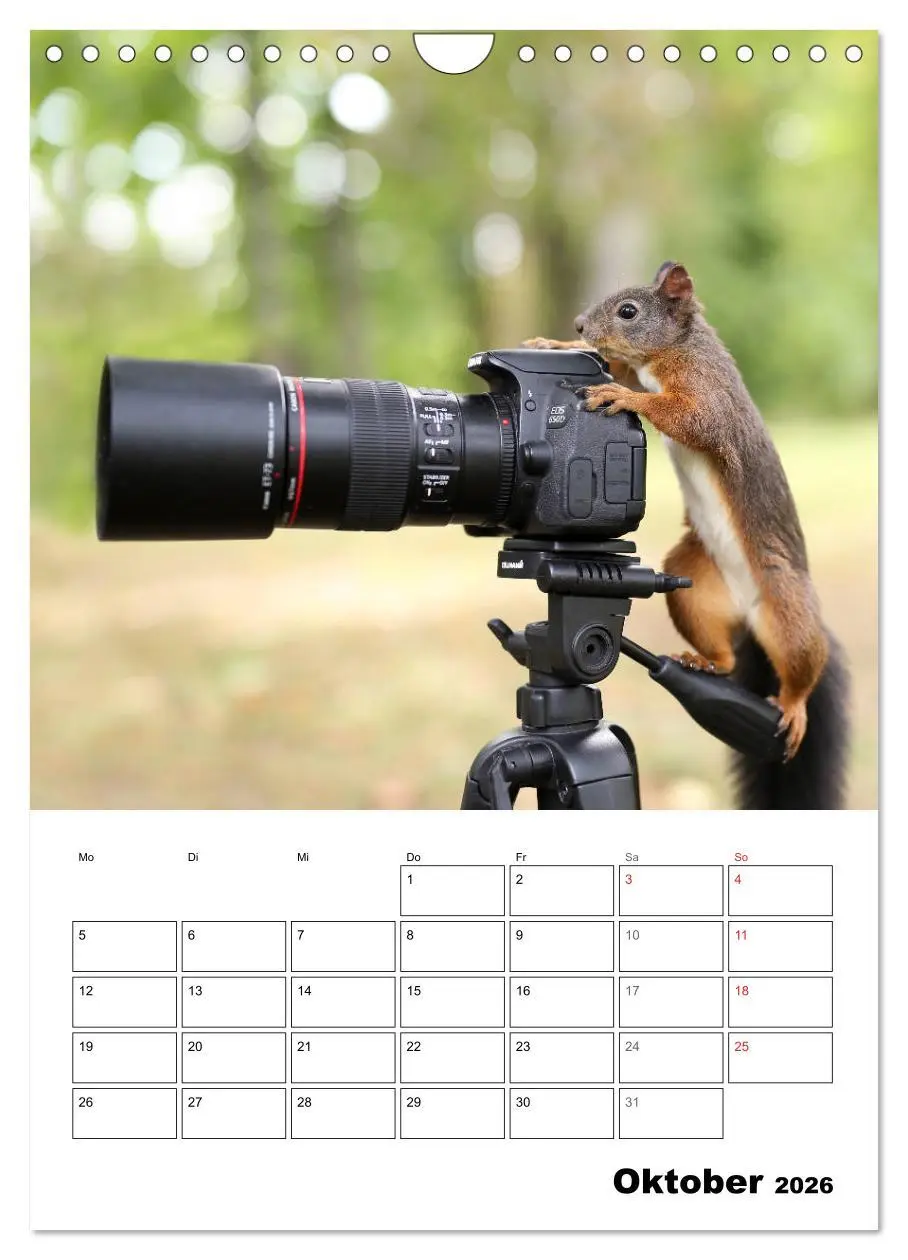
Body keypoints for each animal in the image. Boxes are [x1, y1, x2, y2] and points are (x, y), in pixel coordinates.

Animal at [524, 261, 849, 809]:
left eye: (628, 311)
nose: (579, 325)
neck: (673, 349)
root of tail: (747, 617)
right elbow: (623, 369)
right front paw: (555, 346)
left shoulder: (706, 393)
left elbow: (689, 417)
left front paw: (622, 396)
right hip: (693, 584)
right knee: (723, 654)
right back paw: (706, 660)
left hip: (787, 603)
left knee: (803, 662)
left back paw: (793, 704)